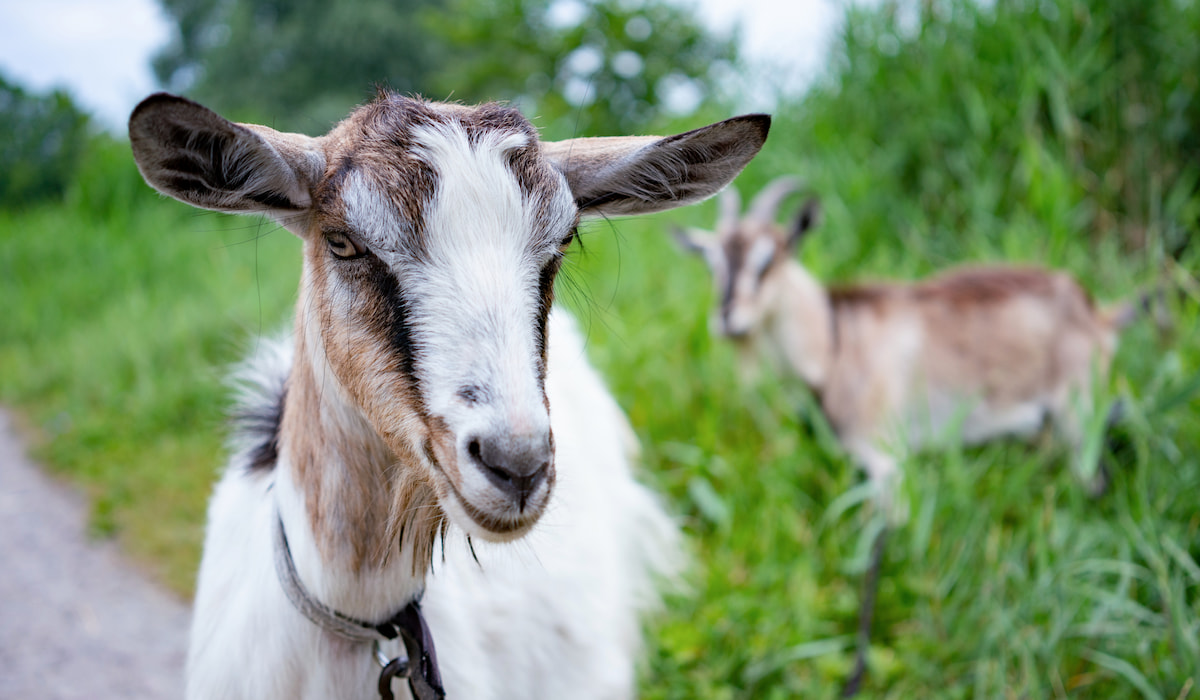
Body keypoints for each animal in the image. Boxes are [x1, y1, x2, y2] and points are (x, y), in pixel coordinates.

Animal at [676, 176, 1137, 694]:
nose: (726, 318)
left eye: (768, 259)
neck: (836, 342)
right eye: (710, 261)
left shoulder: (887, 459)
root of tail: (1097, 311)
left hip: (1079, 410)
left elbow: (879, 544)